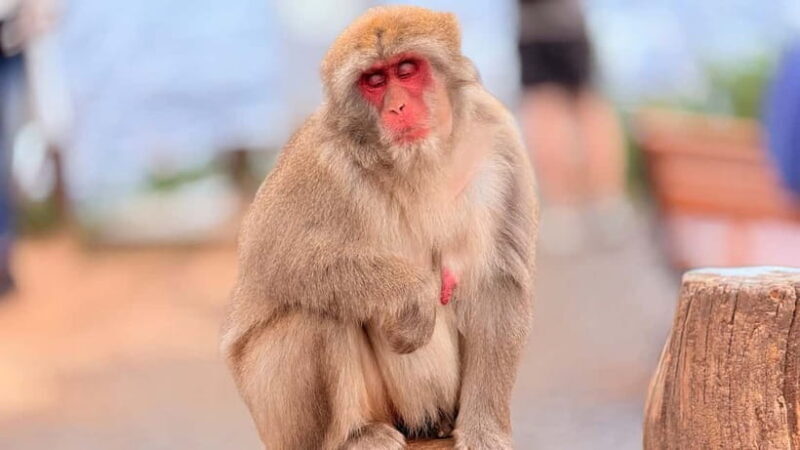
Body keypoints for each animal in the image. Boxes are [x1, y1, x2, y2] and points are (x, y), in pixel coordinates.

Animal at [220, 6, 538, 450]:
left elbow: (496, 282)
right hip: (276, 415)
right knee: (317, 312)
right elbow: (270, 258)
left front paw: (483, 428)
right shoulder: (318, 157)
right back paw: (353, 435)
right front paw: (413, 294)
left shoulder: (497, 139)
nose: (397, 108)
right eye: (374, 81)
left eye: (405, 70)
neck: (416, 160)